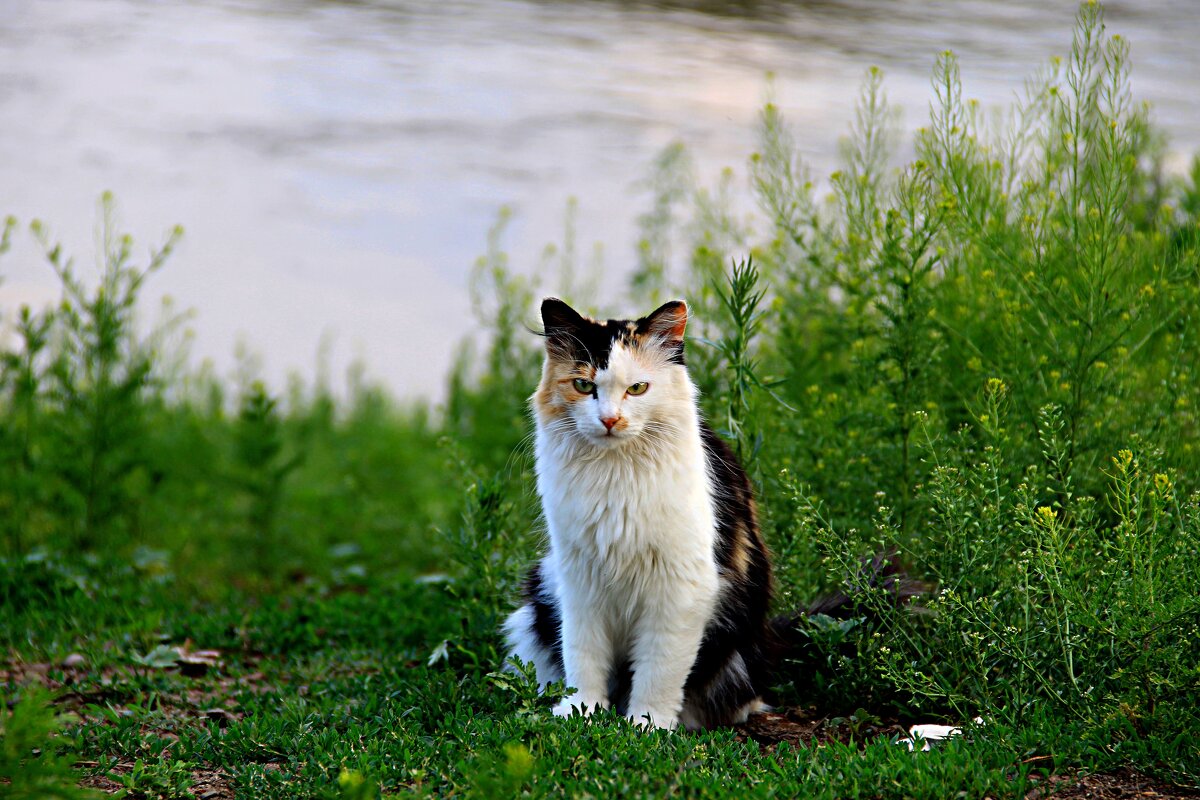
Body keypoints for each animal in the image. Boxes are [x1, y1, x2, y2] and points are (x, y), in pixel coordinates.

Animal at [501, 297, 772, 729]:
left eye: (637, 388)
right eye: (583, 385)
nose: (610, 420)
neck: (615, 475)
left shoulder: (681, 585)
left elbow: (659, 668)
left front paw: (647, 725)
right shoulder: (578, 577)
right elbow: (583, 654)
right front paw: (583, 712)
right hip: (539, 594)